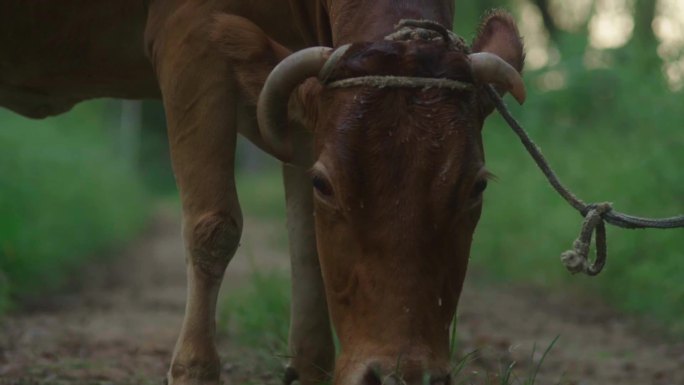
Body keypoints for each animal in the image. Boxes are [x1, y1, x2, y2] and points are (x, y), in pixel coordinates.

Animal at [1, 0, 524, 384]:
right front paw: (194, 370)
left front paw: (310, 367)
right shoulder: (191, 35)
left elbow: (308, 245)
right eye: (325, 184)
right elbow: (213, 226)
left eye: (477, 185)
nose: (404, 376)